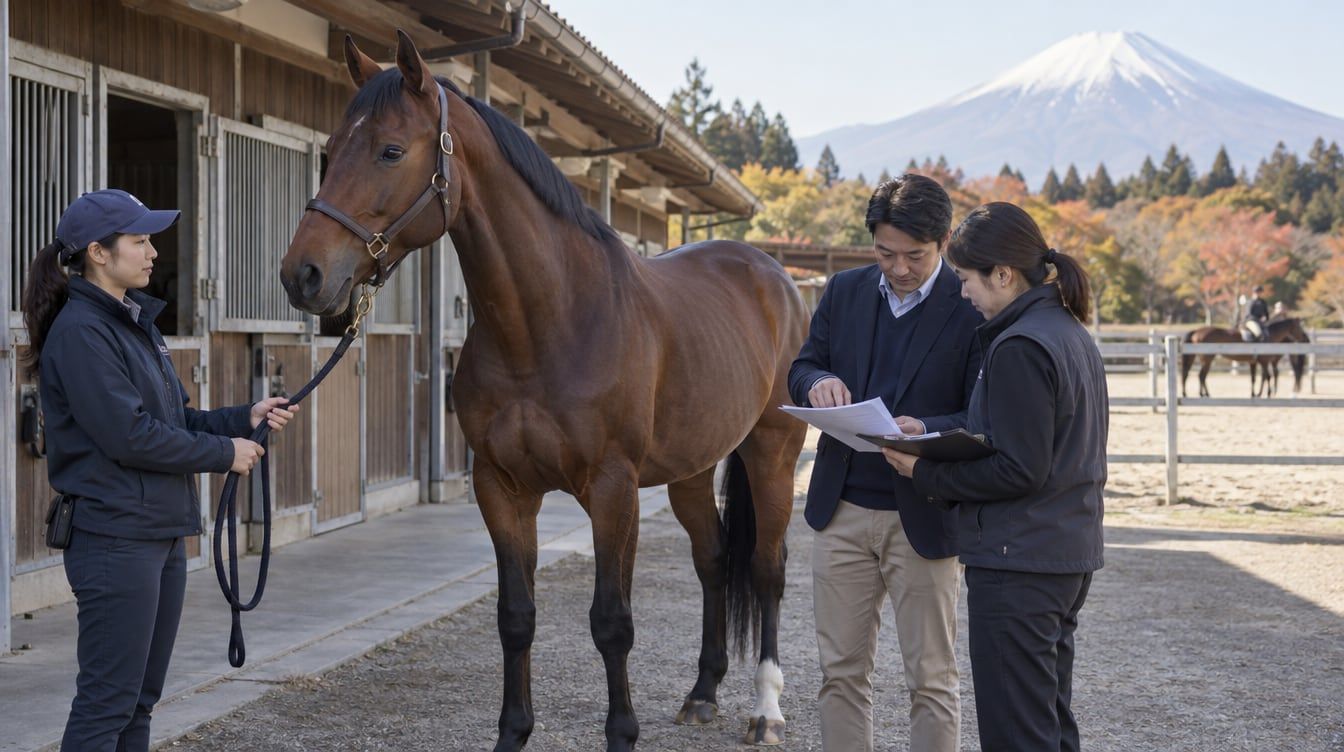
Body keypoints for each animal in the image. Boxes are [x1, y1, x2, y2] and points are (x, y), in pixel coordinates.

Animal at [280, 32, 807, 752]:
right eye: (331, 149)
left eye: (390, 150)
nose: (302, 275)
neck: (549, 323)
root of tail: (772, 275)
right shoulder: (502, 488)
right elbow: (516, 616)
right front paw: (513, 733)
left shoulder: (612, 491)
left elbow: (612, 621)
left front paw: (621, 734)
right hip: (691, 470)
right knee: (713, 558)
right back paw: (702, 694)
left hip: (772, 450)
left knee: (766, 567)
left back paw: (767, 710)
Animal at [1181, 318, 1310, 398]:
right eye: (1300, 328)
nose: (1306, 339)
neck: (1270, 336)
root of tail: (1197, 331)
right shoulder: (1264, 361)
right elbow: (1267, 377)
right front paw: (1267, 393)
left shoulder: (1254, 362)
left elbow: (1255, 378)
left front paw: (1255, 394)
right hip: (1207, 359)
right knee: (1201, 376)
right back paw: (1205, 394)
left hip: (1196, 358)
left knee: (1190, 374)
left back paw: (1189, 394)